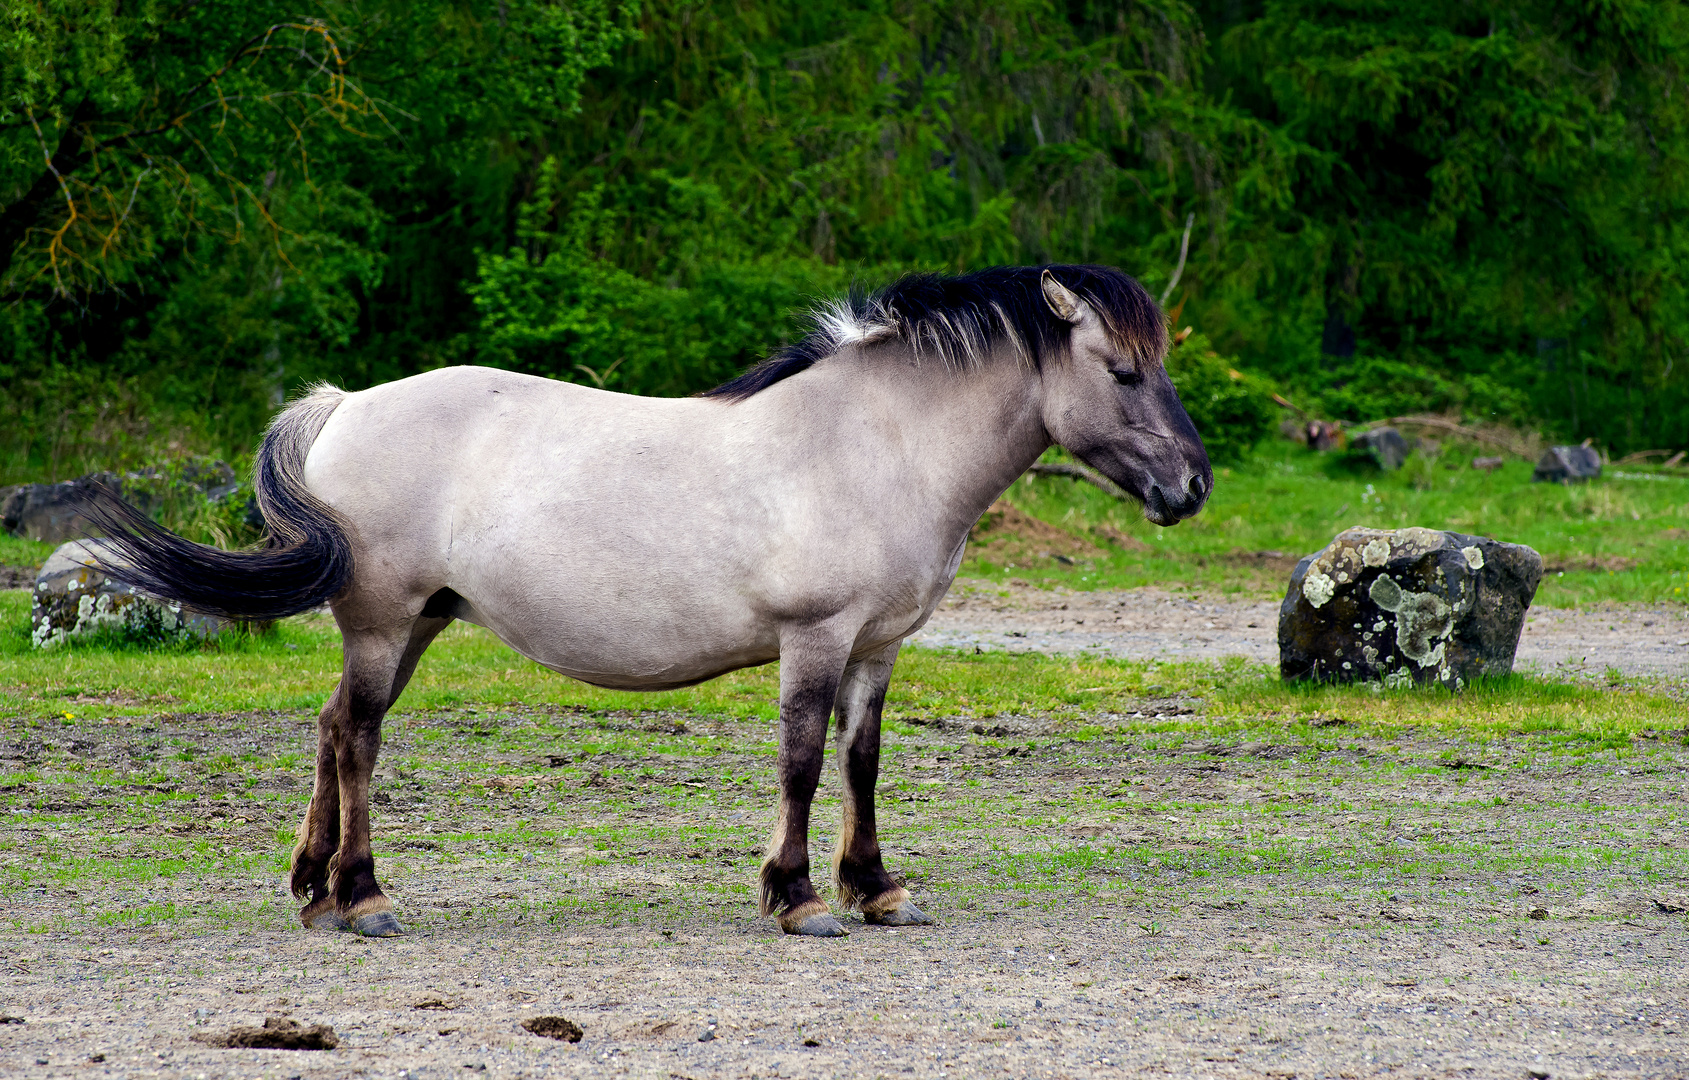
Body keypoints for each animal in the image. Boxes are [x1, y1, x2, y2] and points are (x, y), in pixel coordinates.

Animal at [82, 263, 1216, 939]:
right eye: (1121, 370)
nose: (1192, 487)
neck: (876, 443)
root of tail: (344, 405)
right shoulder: (817, 640)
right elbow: (803, 764)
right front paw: (800, 898)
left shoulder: (878, 649)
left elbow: (860, 764)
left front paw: (878, 888)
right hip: (382, 620)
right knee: (358, 739)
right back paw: (362, 898)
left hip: (416, 622)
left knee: (329, 728)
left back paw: (313, 888)